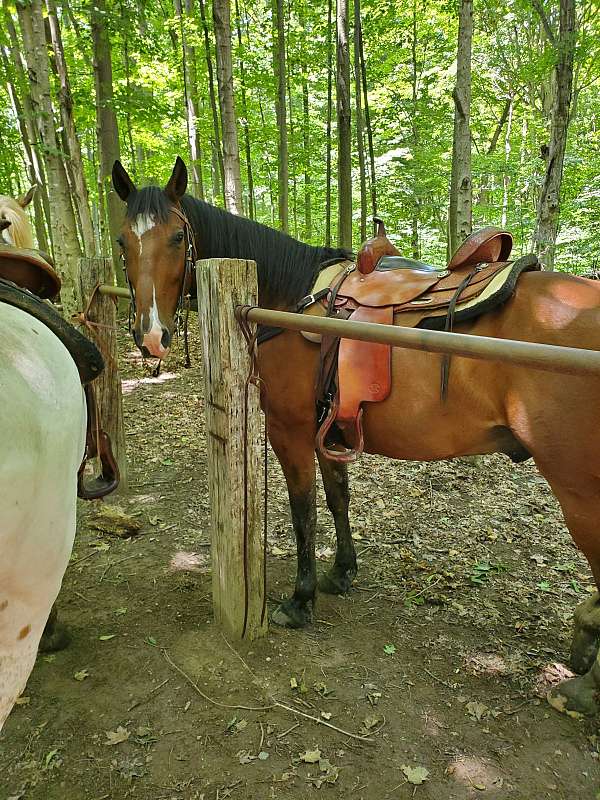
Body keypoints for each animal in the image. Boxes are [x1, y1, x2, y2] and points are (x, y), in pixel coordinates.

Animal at [113, 155, 600, 712]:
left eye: (177, 237)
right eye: (122, 241)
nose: (151, 336)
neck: (286, 297)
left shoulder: (290, 430)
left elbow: (303, 511)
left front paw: (300, 600)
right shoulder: (330, 426)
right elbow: (337, 497)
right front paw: (342, 571)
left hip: (579, 490)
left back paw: (586, 683)